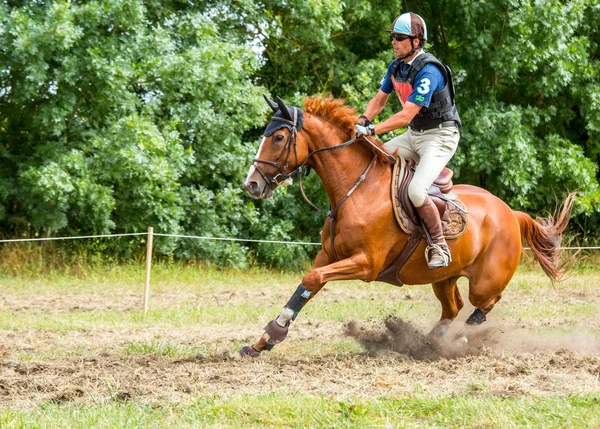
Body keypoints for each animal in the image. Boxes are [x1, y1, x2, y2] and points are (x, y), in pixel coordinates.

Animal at [238, 94, 572, 358]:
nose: (251, 184)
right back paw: (427, 344)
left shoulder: (366, 263)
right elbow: (307, 286)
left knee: (484, 303)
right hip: (444, 277)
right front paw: (263, 342)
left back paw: (462, 338)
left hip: (485, 281)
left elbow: (311, 280)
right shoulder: (328, 256)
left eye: (278, 138)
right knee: (453, 307)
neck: (357, 188)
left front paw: (272, 336)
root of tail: (510, 212)